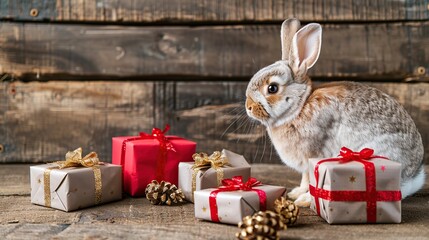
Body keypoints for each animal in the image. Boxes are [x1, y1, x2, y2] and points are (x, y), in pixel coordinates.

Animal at [244, 18, 424, 207]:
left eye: (272, 88)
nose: (248, 107)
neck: (299, 107)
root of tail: (413, 176)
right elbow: (305, 179)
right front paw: (296, 193)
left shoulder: (313, 155)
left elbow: (312, 179)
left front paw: (304, 199)